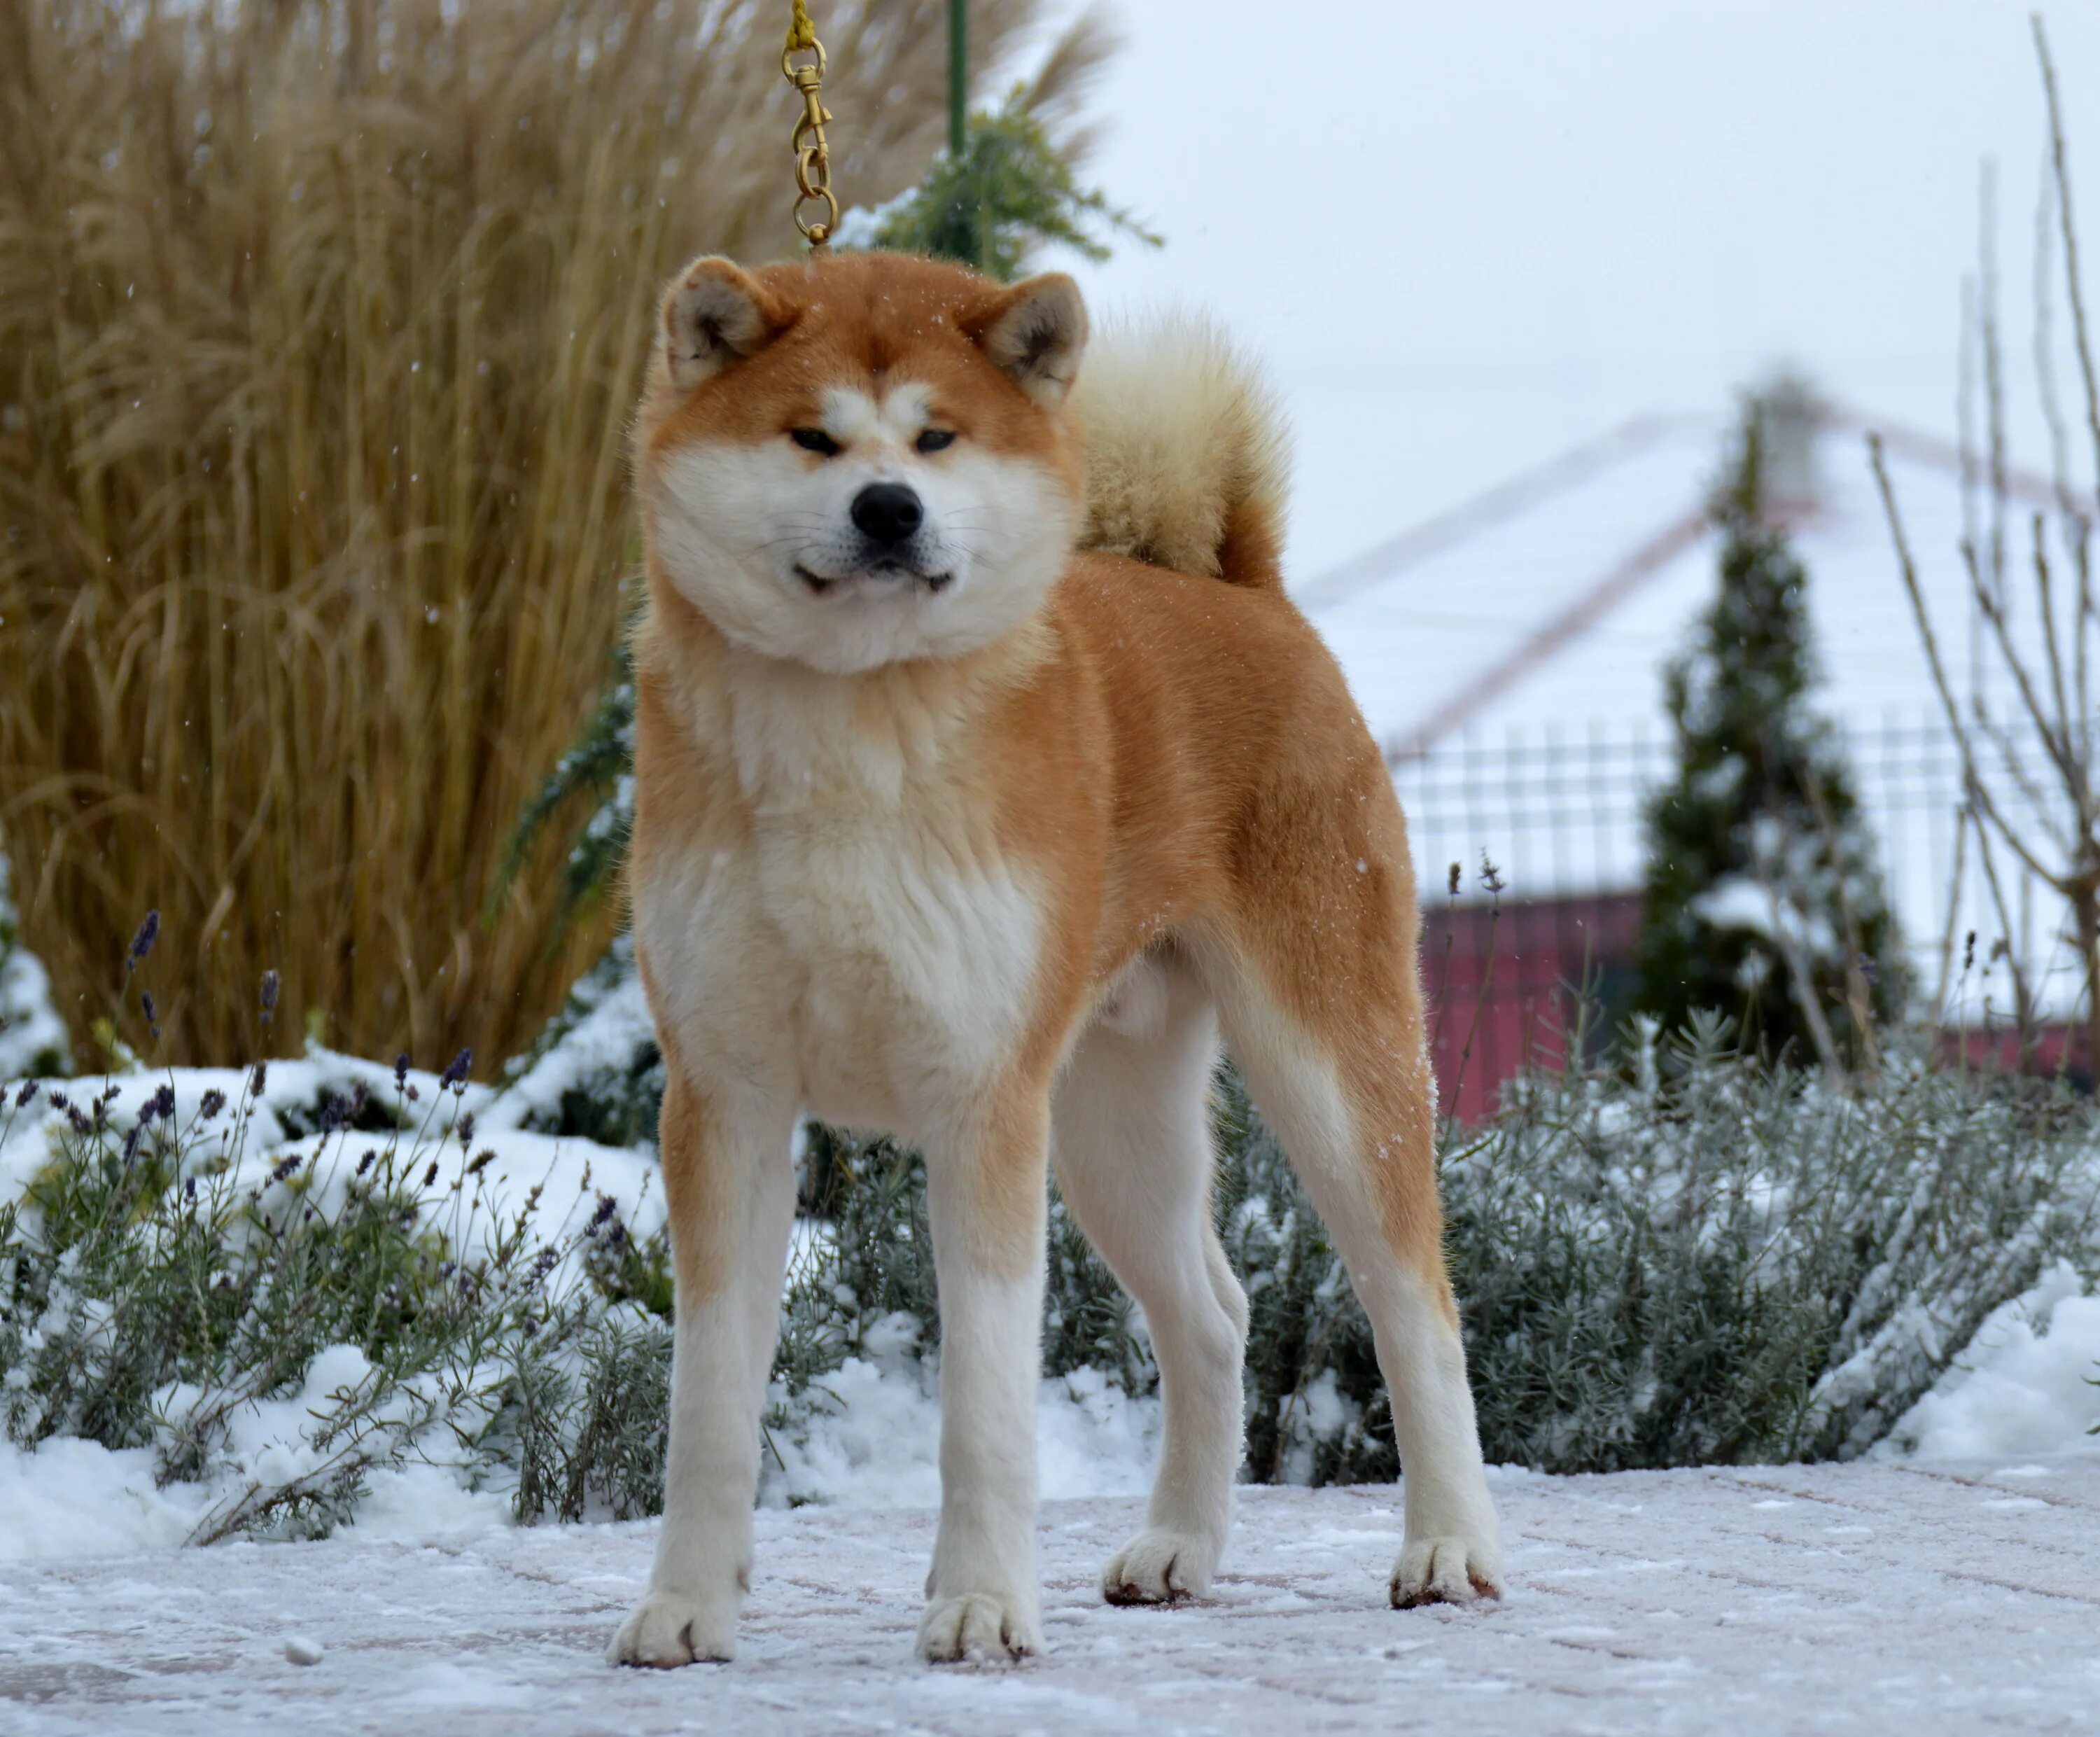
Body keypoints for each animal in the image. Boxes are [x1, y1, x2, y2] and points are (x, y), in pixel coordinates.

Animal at [601, 248, 1504, 1672]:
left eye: (936, 438)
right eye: (811, 437)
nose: (890, 508)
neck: (849, 735)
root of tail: (1243, 589)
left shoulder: (982, 1103)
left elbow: (984, 1406)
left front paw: (979, 1605)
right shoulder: (726, 1098)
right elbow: (710, 1406)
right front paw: (689, 1604)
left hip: (1326, 1070)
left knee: (1417, 1306)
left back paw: (1450, 1545)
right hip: (1109, 1127)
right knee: (1214, 1316)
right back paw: (1181, 1545)